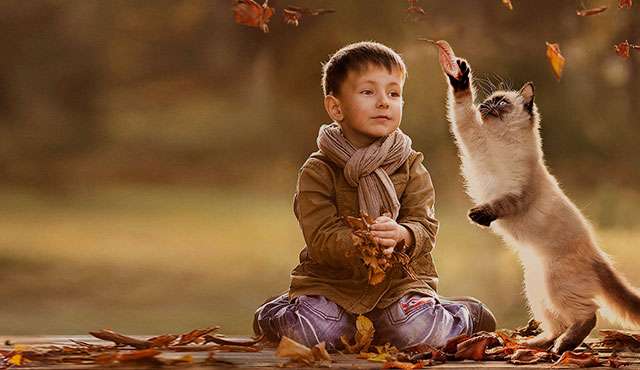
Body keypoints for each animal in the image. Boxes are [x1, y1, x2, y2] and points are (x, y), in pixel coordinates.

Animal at [442, 57, 640, 352]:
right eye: (487, 101)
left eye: (500, 101)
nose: (484, 106)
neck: (500, 143)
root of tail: (598, 255)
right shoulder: (471, 136)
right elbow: (461, 109)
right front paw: (459, 76)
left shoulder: (517, 194)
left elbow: (499, 203)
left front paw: (479, 216)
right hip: (536, 291)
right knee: (556, 324)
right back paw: (535, 343)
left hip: (553, 284)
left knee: (589, 316)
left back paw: (562, 346)